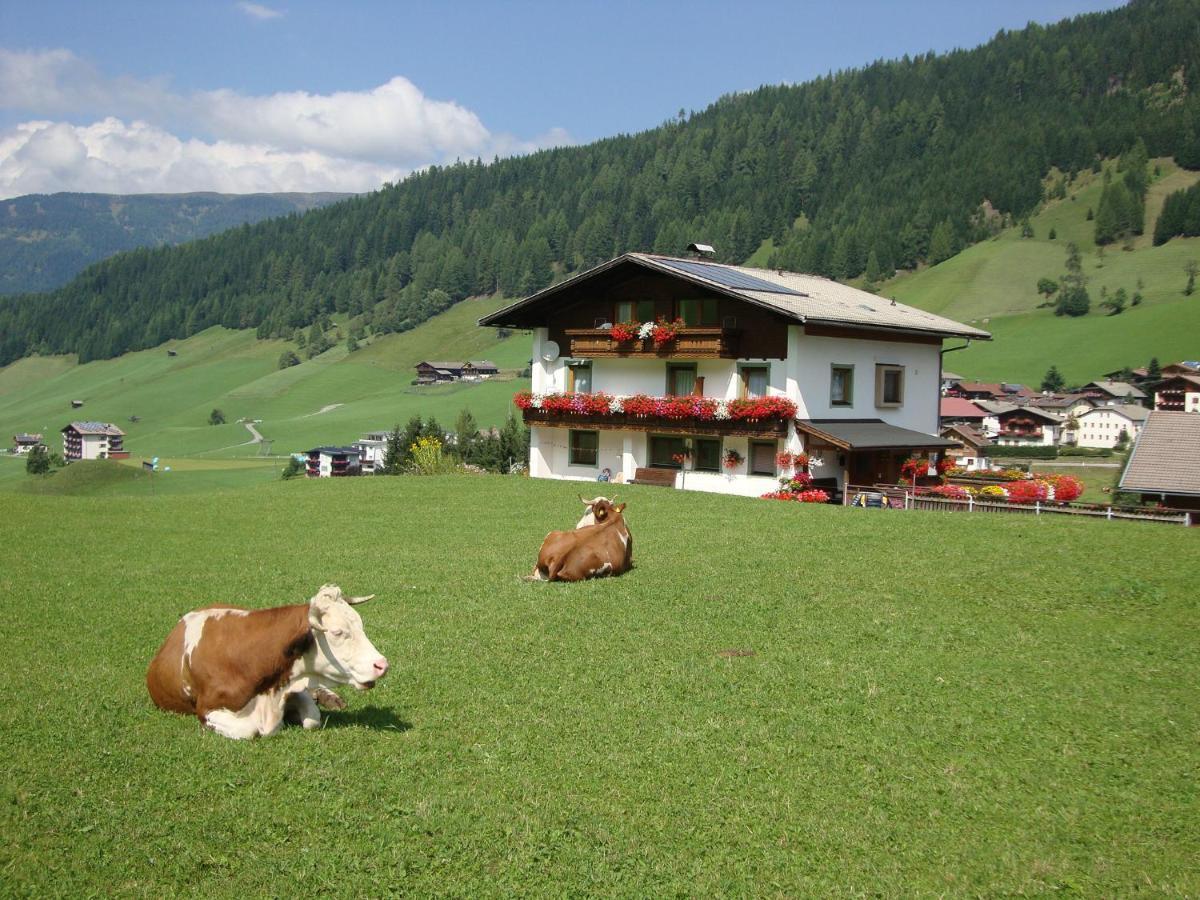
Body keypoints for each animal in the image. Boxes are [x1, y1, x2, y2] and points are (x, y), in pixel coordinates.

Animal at [144, 585, 388, 739]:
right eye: (337, 632)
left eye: (360, 624)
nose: (382, 664)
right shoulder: (207, 708)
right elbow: (249, 730)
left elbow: (313, 718)